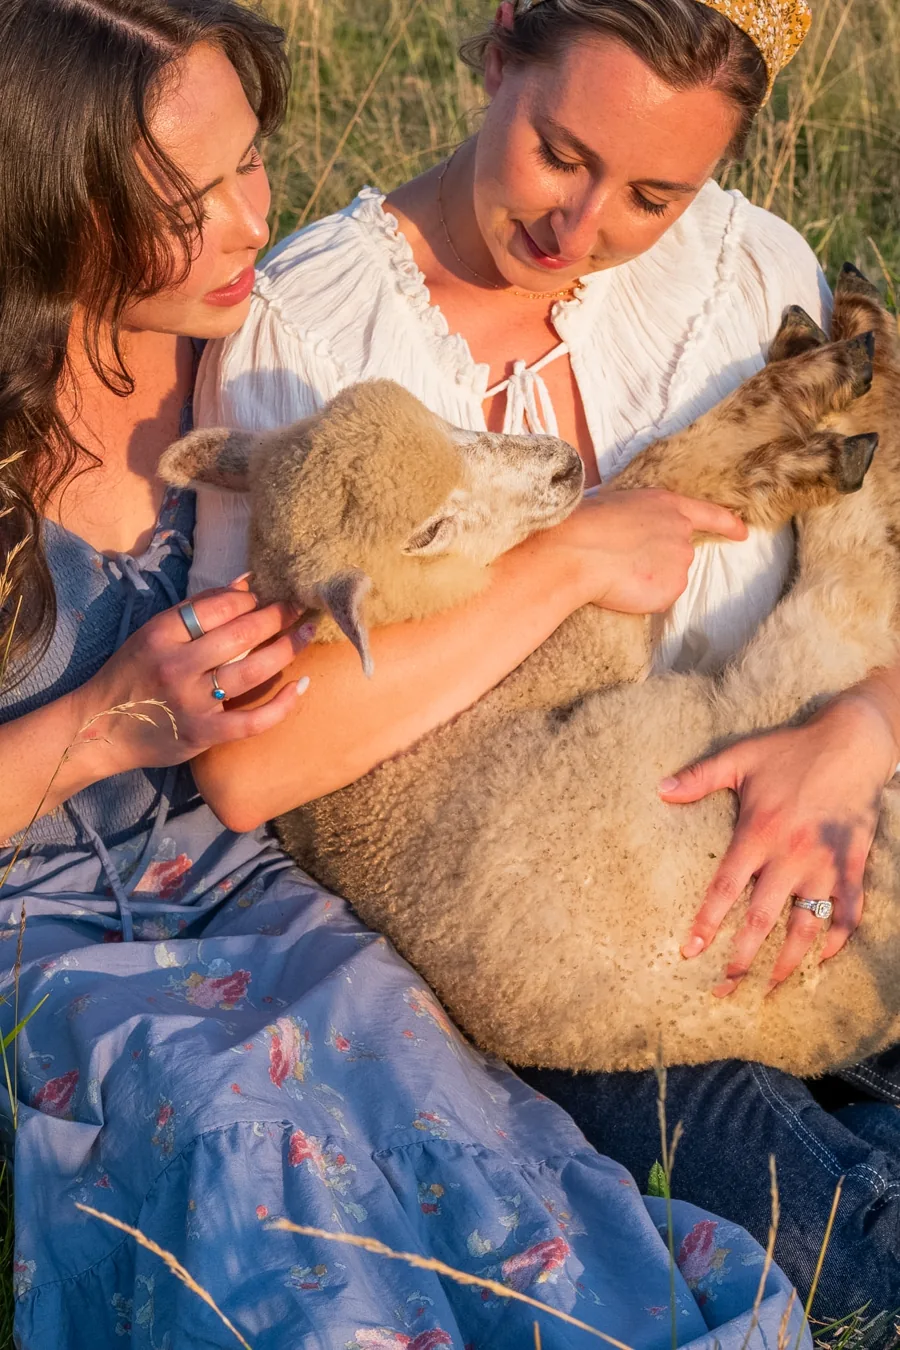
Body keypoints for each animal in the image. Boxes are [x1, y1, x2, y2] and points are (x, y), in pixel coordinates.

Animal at [161, 264, 900, 1078]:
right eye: (428, 531)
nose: (563, 466)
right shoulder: (592, 639)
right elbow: (659, 475)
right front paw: (799, 414)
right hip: (754, 725)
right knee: (855, 573)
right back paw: (849, 374)